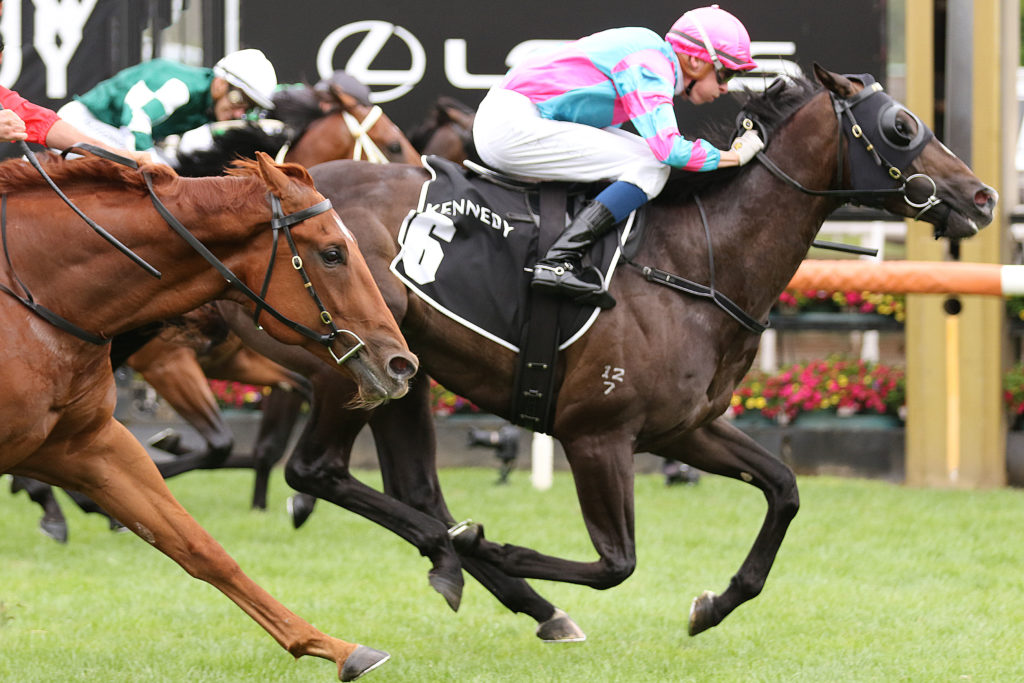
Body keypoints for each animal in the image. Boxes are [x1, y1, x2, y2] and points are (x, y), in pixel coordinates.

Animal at [0, 150, 417, 679]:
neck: (37, 297)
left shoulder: (85, 444)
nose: (401, 363)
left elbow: (199, 547)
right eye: (332, 253)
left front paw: (336, 647)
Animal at [219, 66, 995, 640]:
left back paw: (493, 579)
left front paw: (713, 605)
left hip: (405, 372)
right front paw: (489, 545)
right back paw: (466, 555)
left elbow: (784, 487)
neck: (697, 261)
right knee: (315, 468)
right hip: (349, 362)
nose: (983, 196)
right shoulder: (596, 433)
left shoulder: (683, 427)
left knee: (413, 486)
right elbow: (616, 563)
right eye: (901, 126)